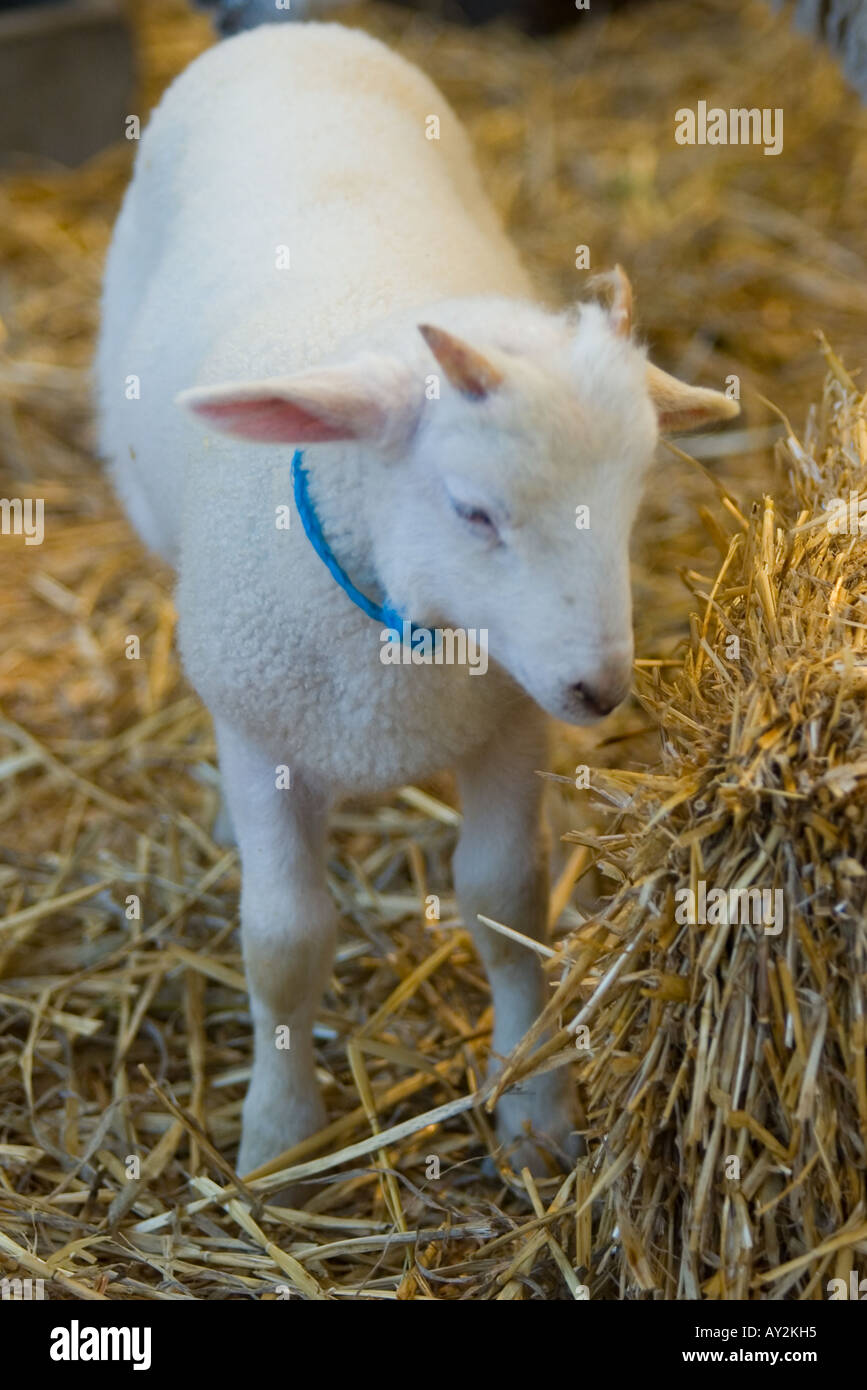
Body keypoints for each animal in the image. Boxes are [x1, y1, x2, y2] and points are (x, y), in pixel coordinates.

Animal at [96, 24, 739, 1184]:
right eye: (474, 511)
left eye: (632, 501)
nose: (600, 689)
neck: (406, 639)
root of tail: (285, 28)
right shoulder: (265, 733)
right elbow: (283, 939)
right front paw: (278, 1135)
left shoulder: (508, 720)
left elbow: (504, 901)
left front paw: (535, 1106)